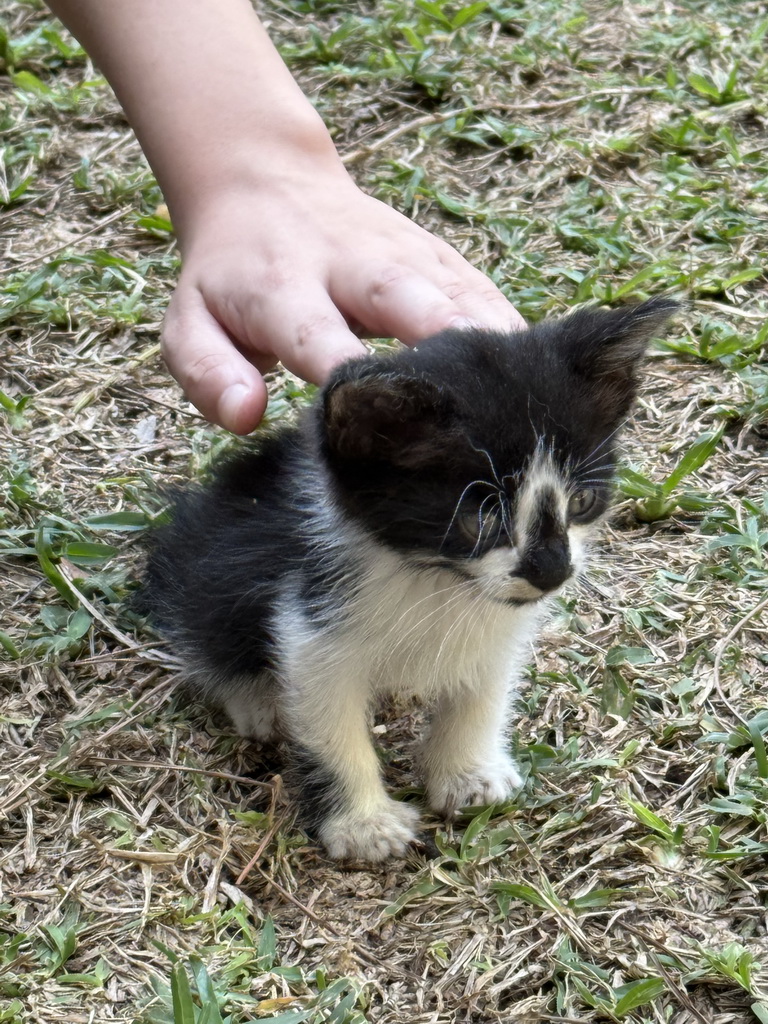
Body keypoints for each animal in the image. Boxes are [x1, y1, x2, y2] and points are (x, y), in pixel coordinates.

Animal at [144, 299, 679, 864]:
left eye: (582, 500)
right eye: (482, 519)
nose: (552, 571)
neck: (434, 574)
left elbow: (483, 684)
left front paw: (468, 775)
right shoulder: (312, 613)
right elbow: (327, 713)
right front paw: (363, 825)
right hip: (211, 563)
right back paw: (257, 700)